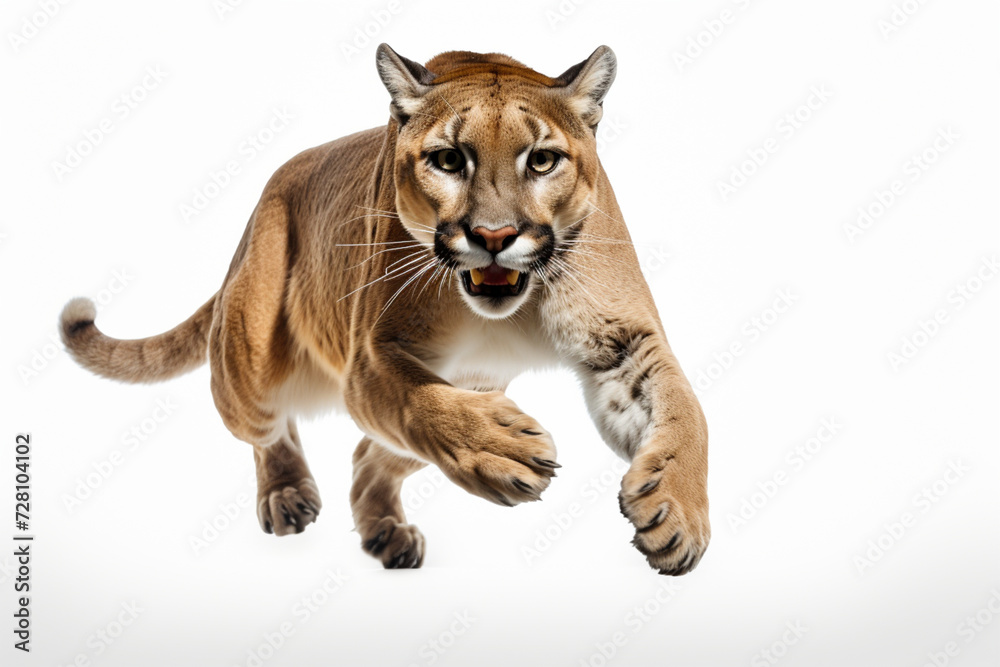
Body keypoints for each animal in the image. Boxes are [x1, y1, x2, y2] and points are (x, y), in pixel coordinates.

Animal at [60, 44, 710, 575]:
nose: (494, 236)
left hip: (474, 382)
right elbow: (417, 402)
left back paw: (384, 533)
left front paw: (678, 512)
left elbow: (684, 409)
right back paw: (288, 495)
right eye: (448, 160)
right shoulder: (371, 356)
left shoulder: (623, 339)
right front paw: (499, 448)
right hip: (249, 362)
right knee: (272, 430)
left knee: (369, 454)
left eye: (542, 160)